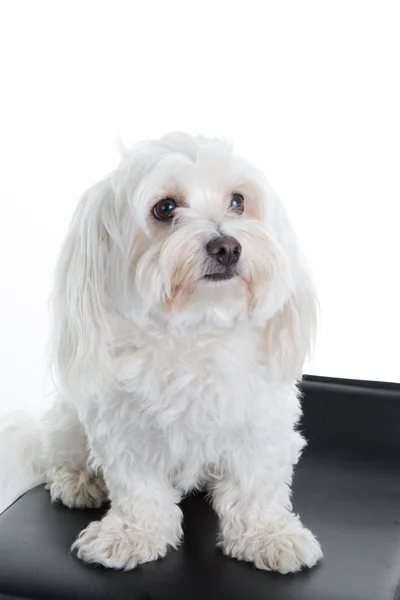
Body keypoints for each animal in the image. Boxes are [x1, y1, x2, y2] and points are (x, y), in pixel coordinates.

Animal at [0, 134, 322, 576]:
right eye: (165, 208)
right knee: (58, 455)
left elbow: (256, 484)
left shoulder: (261, 424)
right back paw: (78, 480)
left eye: (238, 201)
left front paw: (269, 535)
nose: (227, 246)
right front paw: (132, 534)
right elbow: (139, 489)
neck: (195, 330)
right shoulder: (124, 430)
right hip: (69, 417)